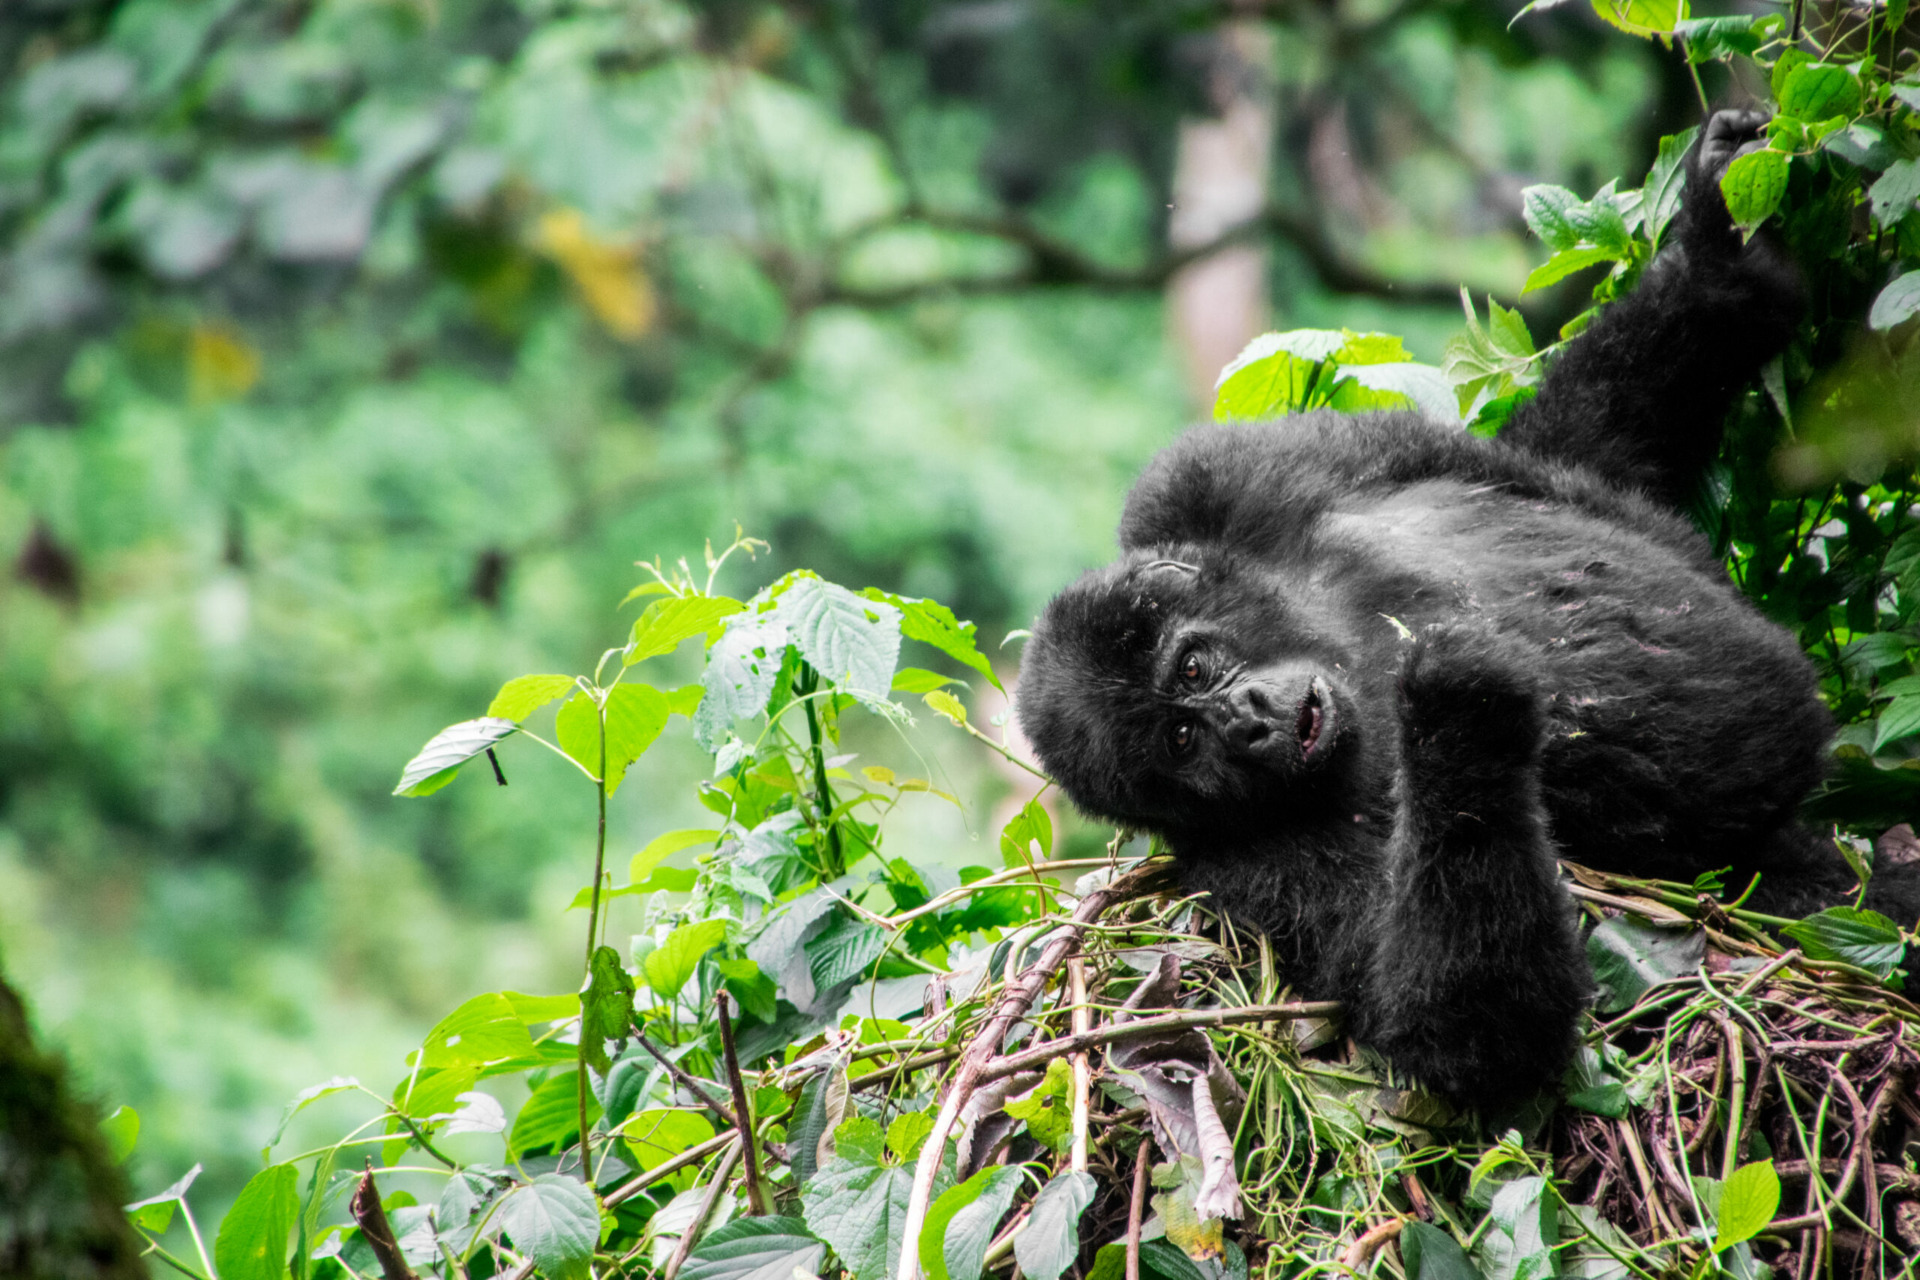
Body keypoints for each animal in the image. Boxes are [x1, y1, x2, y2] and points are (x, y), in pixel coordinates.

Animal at [1013, 112, 1920, 1113]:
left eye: (1192, 668)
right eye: (1179, 741)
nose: (1244, 721)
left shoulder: (1220, 472)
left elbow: (1564, 461)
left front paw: (1716, 257)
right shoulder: (1245, 874)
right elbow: (1468, 1037)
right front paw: (1459, 711)